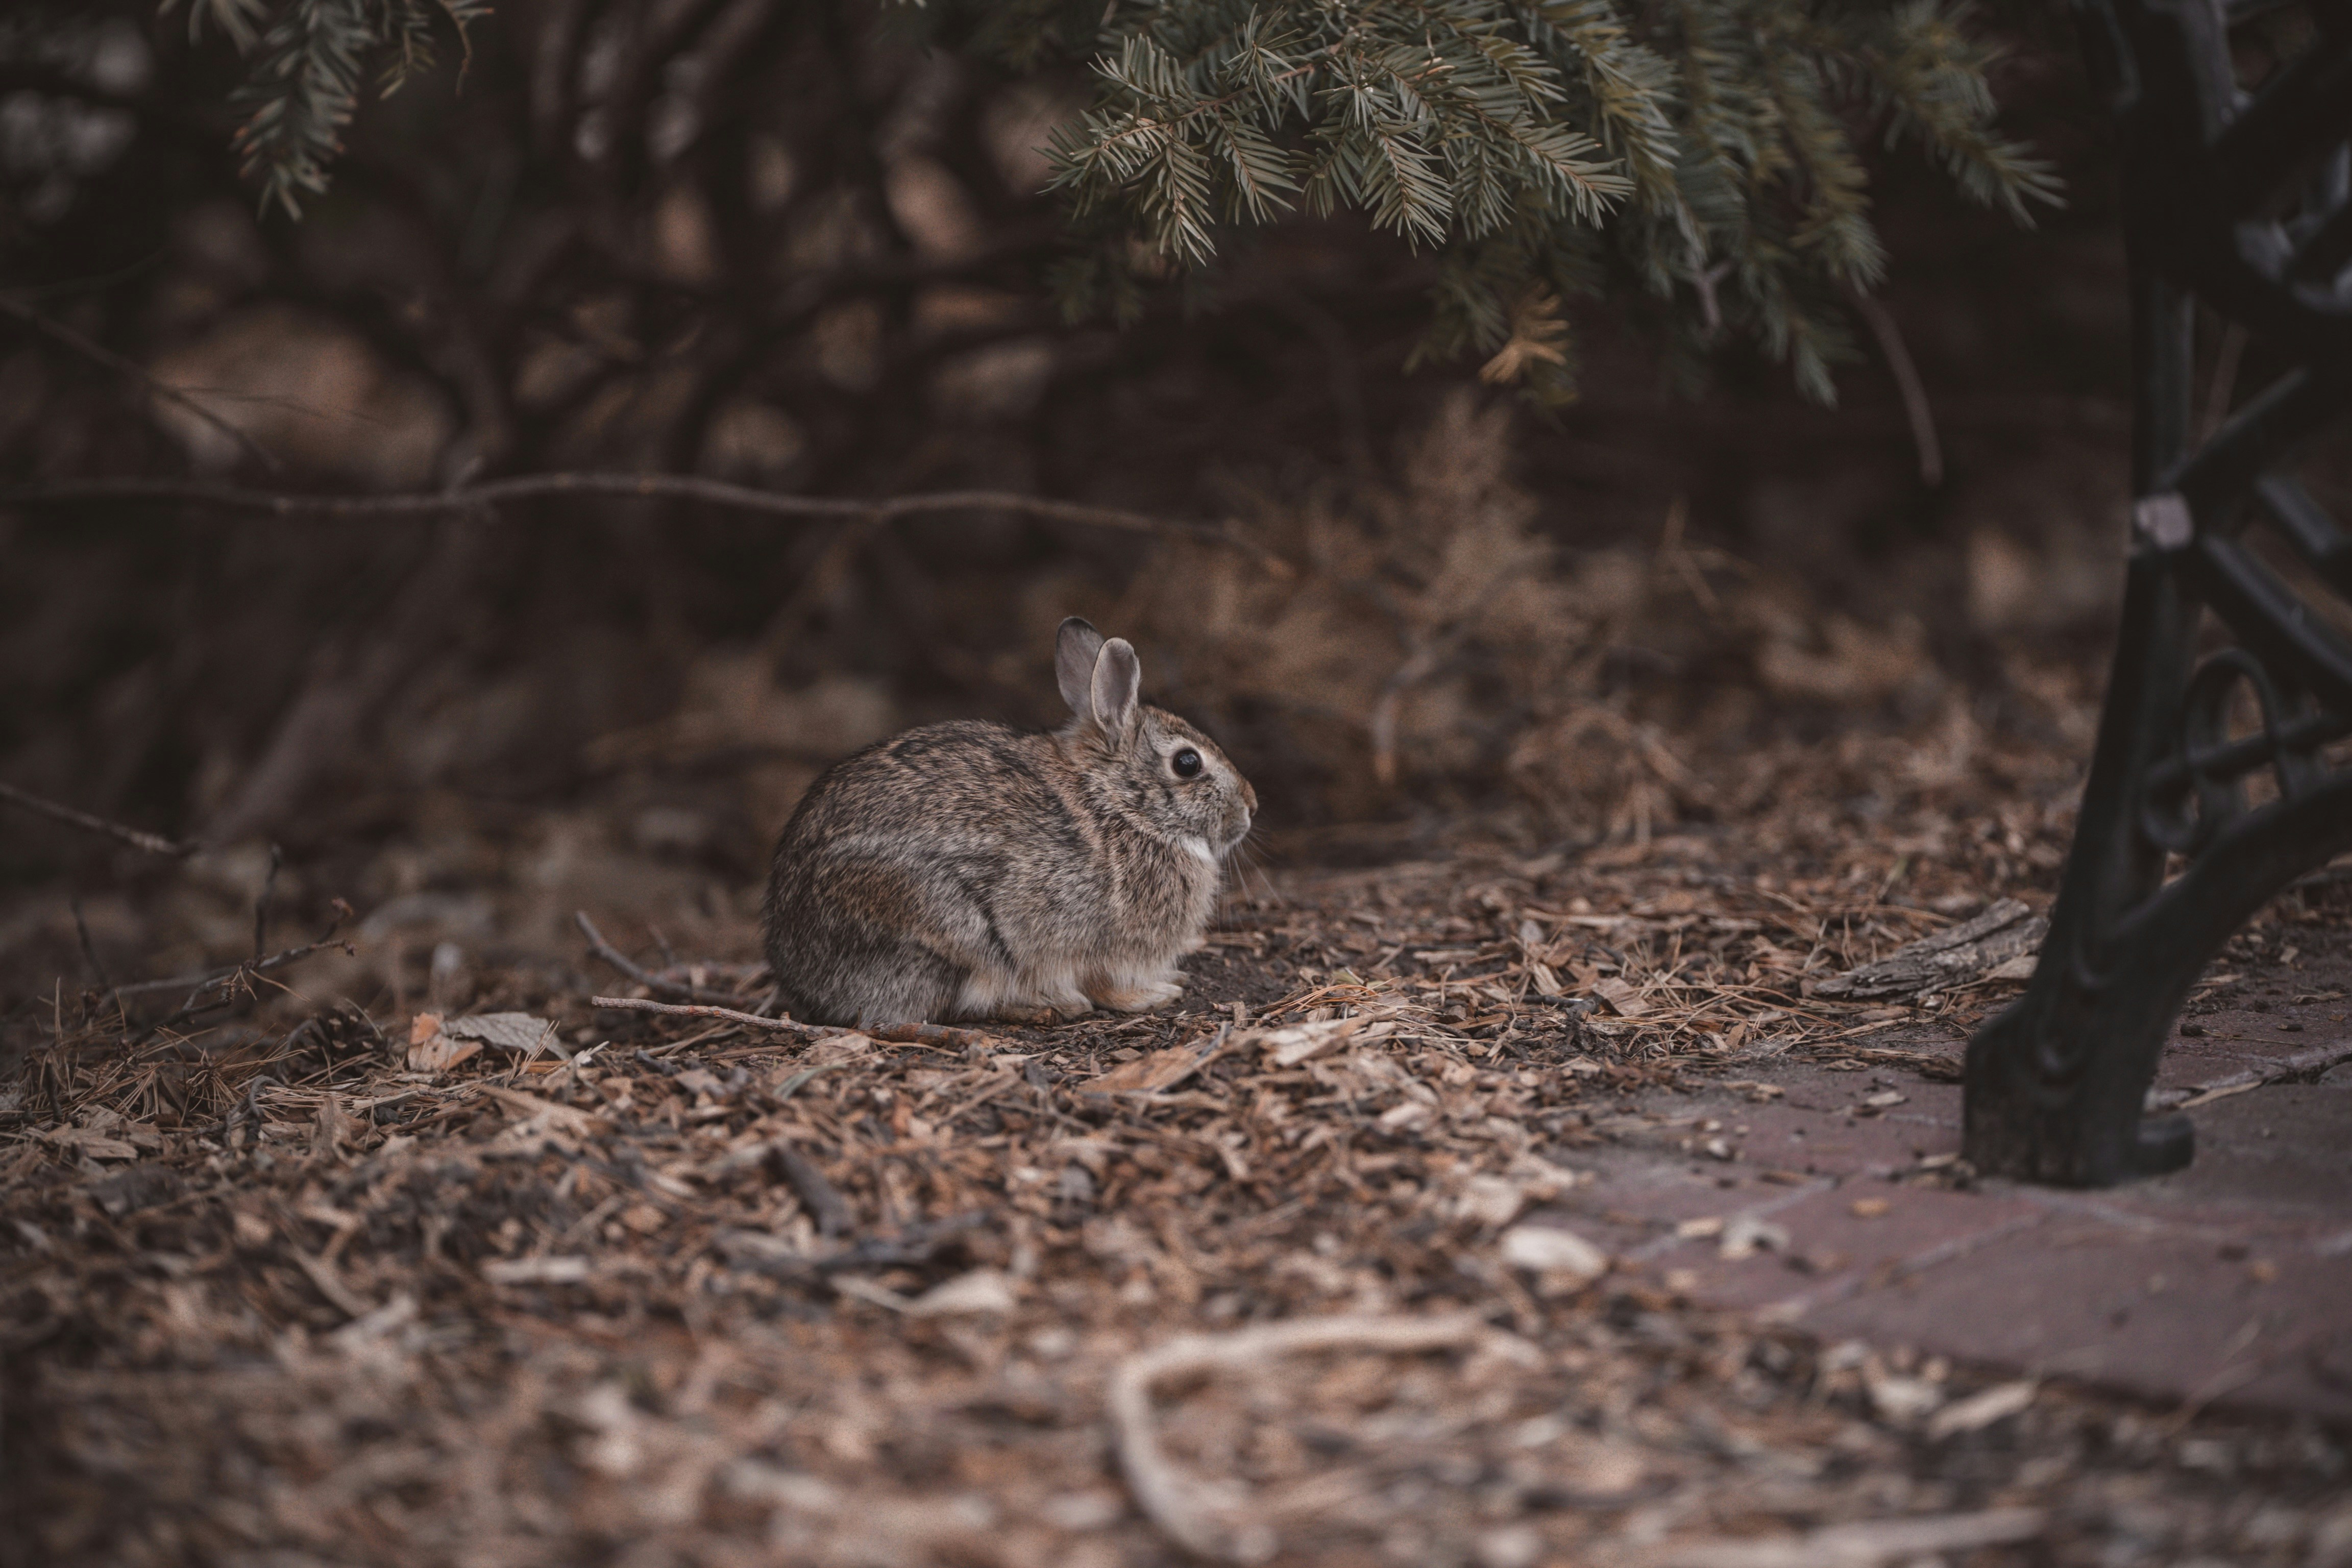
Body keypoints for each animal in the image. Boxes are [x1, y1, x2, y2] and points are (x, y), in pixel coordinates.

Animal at [761, 617, 1257, 1026]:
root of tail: (801, 975)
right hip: (950, 933)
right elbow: (1106, 985)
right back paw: (1053, 1005)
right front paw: (1156, 994)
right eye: (1187, 763)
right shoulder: (1099, 944)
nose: (1251, 807)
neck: (1118, 804)